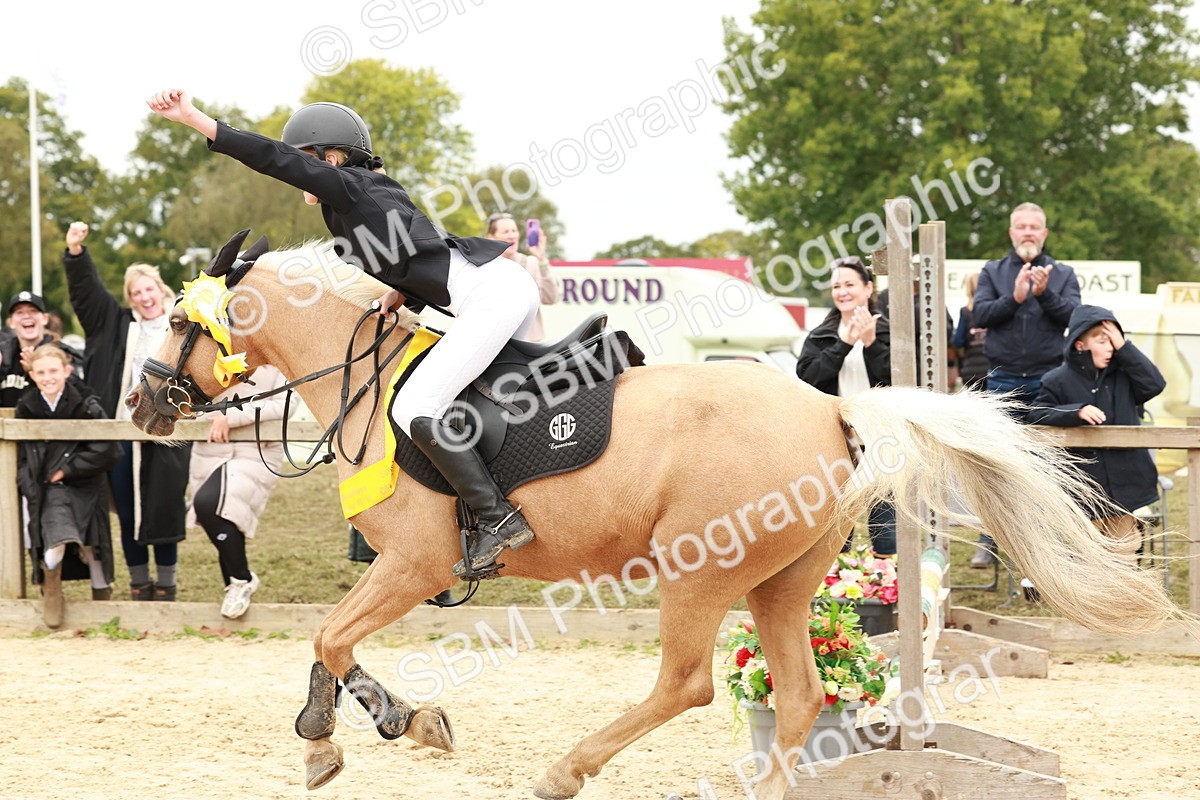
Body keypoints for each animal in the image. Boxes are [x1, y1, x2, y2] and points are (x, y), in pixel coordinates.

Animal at [127, 239, 1191, 800]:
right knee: (798, 695)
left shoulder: (416, 566)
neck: (365, 378)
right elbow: (337, 642)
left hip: (700, 569)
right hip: (781, 583)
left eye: (180, 320)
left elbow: (330, 636)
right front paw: (391, 721)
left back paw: (567, 769)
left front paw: (342, 731)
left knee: (688, 683)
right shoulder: (404, 572)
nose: (142, 405)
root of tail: (832, 411)